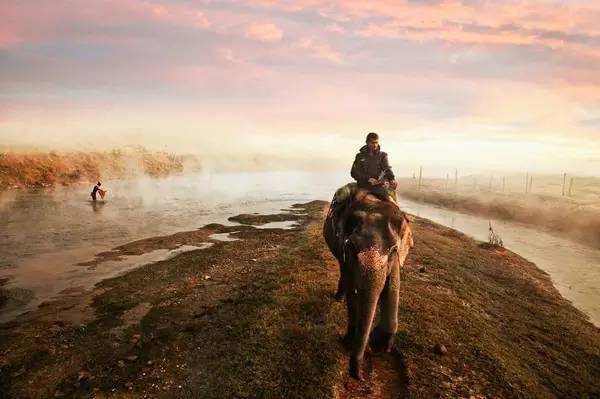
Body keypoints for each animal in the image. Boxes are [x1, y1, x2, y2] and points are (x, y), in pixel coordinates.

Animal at [324, 188, 412, 382]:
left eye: (393, 250)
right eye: (351, 247)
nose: (361, 377)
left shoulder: (396, 259)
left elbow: (393, 286)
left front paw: (381, 343)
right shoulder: (344, 250)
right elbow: (353, 290)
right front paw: (350, 342)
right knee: (343, 271)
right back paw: (339, 298)